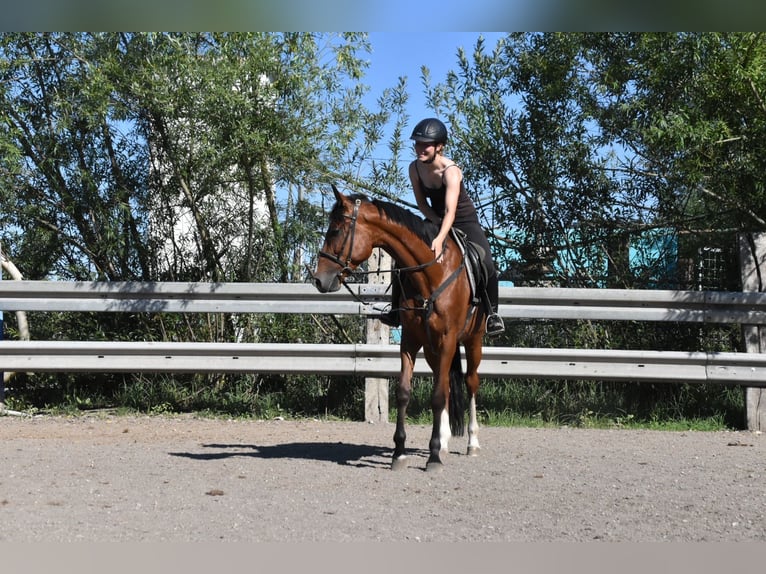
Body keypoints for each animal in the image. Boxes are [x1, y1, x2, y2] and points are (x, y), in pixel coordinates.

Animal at [312, 184, 486, 472]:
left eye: (335, 230)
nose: (318, 279)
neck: (430, 273)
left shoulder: (448, 339)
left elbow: (437, 396)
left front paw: (433, 456)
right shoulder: (411, 341)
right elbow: (405, 392)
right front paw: (400, 452)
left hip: (473, 341)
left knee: (471, 383)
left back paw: (472, 443)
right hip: (433, 349)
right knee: (447, 384)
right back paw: (445, 440)